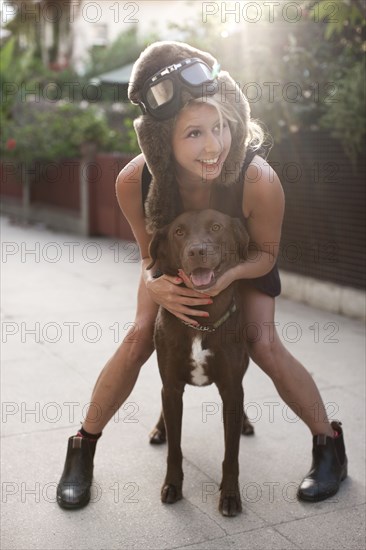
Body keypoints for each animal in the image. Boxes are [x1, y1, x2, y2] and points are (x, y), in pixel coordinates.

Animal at [147, 210, 253, 516]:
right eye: (179, 232)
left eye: (216, 227)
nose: (197, 251)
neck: (201, 321)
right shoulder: (171, 386)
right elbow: (175, 449)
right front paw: (172, 485)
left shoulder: (231, 389)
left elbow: (231, 453)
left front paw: (230, 495)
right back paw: (159, 428)